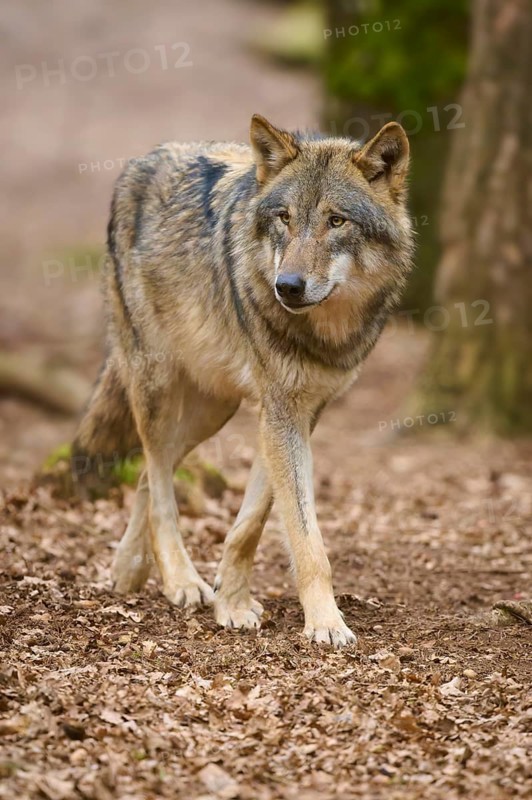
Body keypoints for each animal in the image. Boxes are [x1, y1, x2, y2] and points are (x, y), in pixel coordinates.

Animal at [74, 114, 413, 648]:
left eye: (336, 221)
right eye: (285, 218)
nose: (287, 286)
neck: (324, 333)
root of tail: (144, 158)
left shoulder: (296, 415)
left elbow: (251, 523)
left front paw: (231, 601)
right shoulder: (279, 414)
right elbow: (307, 540)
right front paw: (325, 622)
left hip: (212, 410)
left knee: (150, 473)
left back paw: (129, 569)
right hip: (157, 387)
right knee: (159, 480)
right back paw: (181, 580)